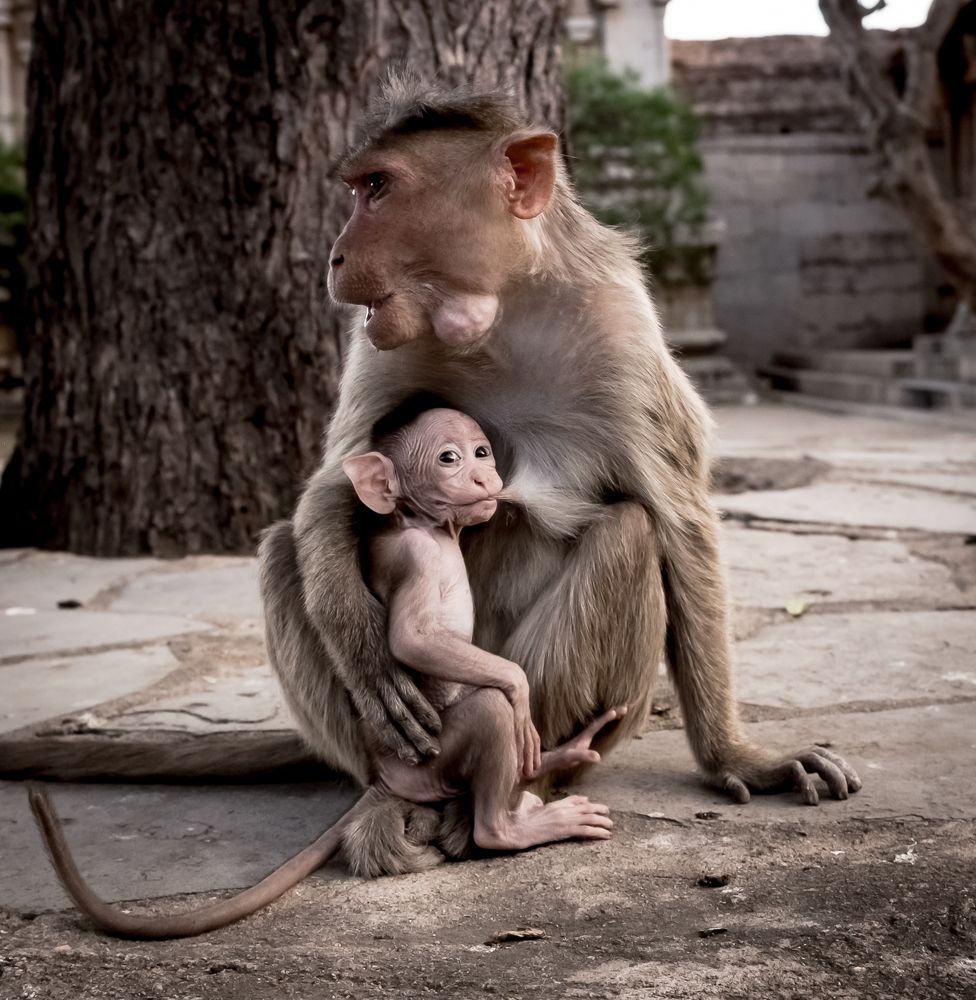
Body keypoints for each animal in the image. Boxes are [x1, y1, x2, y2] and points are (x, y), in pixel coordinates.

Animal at [26, 406, 623, 938]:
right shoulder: (419, 555)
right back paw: (510, 823)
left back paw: (558, 756)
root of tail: (386, 777)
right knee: (488, 715)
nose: (485, 476)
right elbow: (415, 640)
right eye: (449, 458)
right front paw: (516, 688)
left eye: (482, 452)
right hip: (433, 758)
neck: (425, 522)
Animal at [258, 75, 861, 852]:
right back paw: (401, 791)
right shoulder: (382, 340)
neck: (503, 309)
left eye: (379, 188)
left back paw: (512, 792)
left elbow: (681, 523)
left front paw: (739, 757)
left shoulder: (621, 336)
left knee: (629, 536)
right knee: (285, 544)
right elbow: (338, 483)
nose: (334, 255)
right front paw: (365, 648)